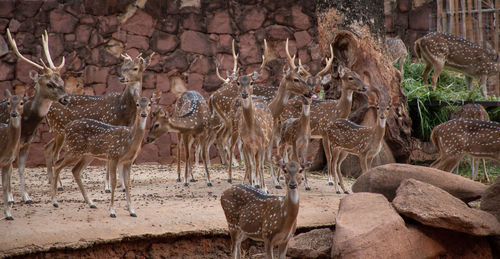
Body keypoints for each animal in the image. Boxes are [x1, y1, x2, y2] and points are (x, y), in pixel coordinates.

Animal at [0, 29, 69, 203]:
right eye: (49, 84)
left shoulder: (27, 143)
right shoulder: (13, 142)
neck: (27, 126)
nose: (66, 99)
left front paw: (26, 197)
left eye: (62, 81)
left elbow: (21, 169)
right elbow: (10, 168)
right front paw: (10, 197)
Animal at [45, 52, 154, 193]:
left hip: (58, 131)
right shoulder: (109, 125)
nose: (122, 78)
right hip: (59, 129)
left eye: (135, 68)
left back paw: (52, 181)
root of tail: (49, 109)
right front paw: (107, 187)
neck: (123, 109)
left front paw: (123, 186)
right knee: (55, 154)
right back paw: (59, 185)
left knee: (48, 148)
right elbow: (108, 161)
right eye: (122, 68)